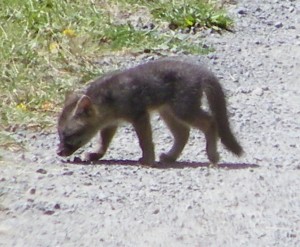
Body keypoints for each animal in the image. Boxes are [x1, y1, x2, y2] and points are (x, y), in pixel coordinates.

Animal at [56, 58, 244, 165]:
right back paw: (170, 157)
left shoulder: (139, 115)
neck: (108, 97)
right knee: (183, 133)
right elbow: (103, 143)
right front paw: (94, 154)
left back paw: (212, 155)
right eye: (59, 134)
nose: (58, 152)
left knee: (210, 122)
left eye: (69, 135)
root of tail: (201, 71)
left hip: (183, 109)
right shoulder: (111, 123)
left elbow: (145, 141)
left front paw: (147, 160)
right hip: (168, 112)